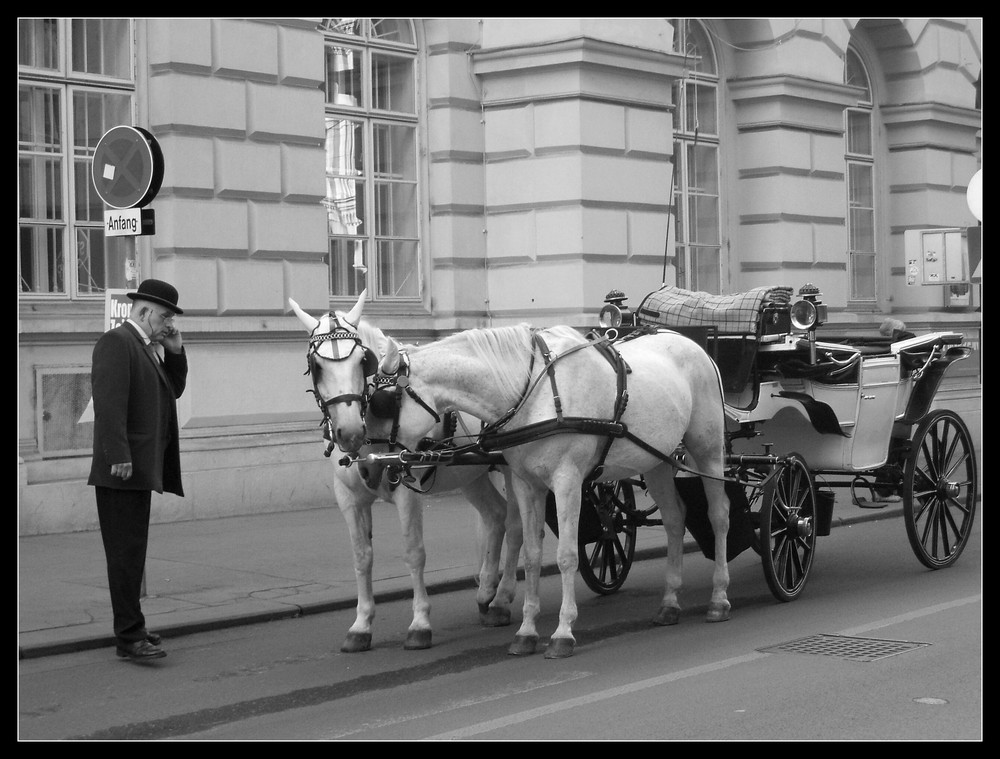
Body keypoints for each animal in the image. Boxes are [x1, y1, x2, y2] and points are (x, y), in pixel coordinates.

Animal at [288, 294, 520, 652]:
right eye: (317, 366)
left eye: (362, 362)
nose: (349, 432)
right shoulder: (349, 497)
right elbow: (362, 556)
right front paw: (361, 625)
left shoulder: (405, 488)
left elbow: (414, 552)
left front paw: (420, 622)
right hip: (472, 474)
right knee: (496, 516)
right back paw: (486, 595)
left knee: (517, 526)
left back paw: (502, 597)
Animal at [372, 326, 732, 660]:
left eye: (383, 404)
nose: (373, 470)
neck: (535, 393)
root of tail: (692, 345)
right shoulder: (525, 483)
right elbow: (532, 556)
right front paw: (526, 631)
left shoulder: (567, 480)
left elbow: (566, 556)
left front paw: (563, 632)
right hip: (657, 459)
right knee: (674, 519)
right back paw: (670, 602)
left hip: (708, 449)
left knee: (718, 515)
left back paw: (719, 598)